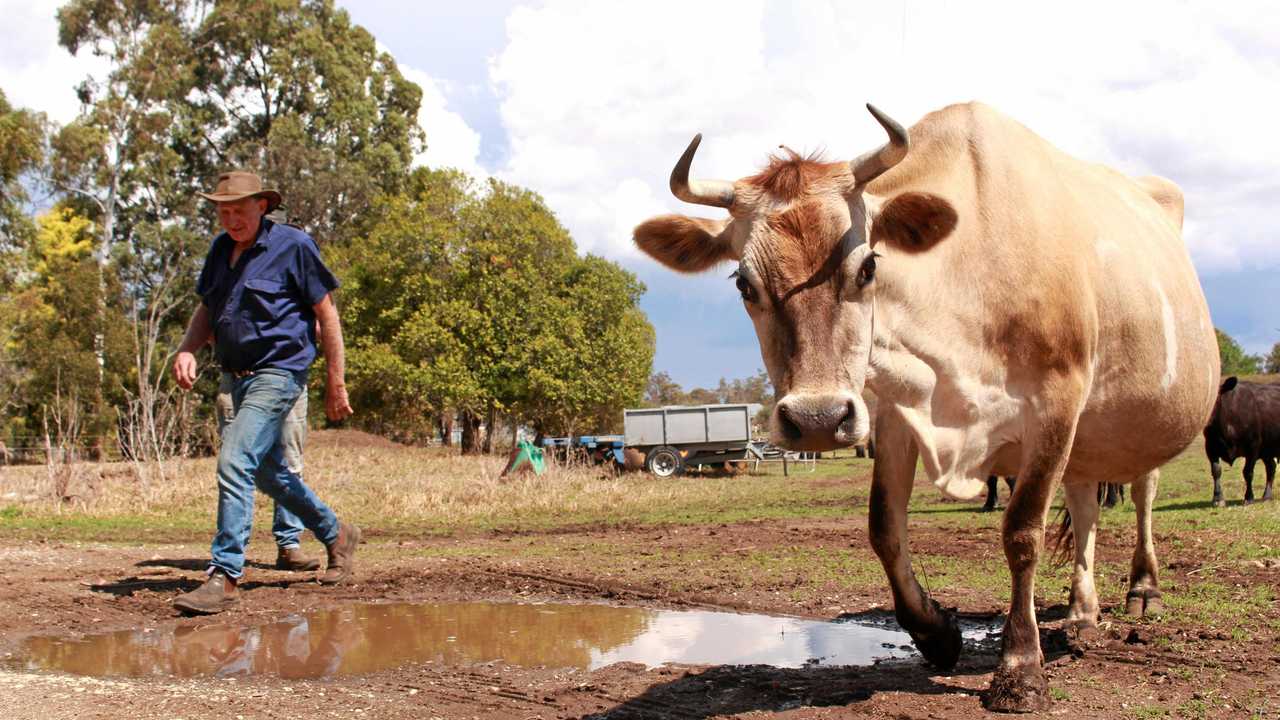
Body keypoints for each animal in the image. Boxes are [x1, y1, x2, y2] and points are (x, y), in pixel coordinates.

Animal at [634, 102, 1213, 712]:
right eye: (743, 283)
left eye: (868, 266)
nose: (816, 419)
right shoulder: (892, 411)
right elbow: (884, 527)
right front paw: (936, 631)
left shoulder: (1057, 400)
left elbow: (1022, 531)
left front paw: (1020, 666)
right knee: (1084, 505)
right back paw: (1081, 611)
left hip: (1143, 417)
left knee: (1143, 491)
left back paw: (1142, 588)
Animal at [1203, 376, 1274, 504]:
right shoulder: (1210, 446)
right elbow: (1216, 471)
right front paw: (1218, 498)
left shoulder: (1254, 446)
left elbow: (1248, 472)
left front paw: (1249, 497)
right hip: (1267, 450)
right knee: (1271, 467)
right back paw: (1267, 495)